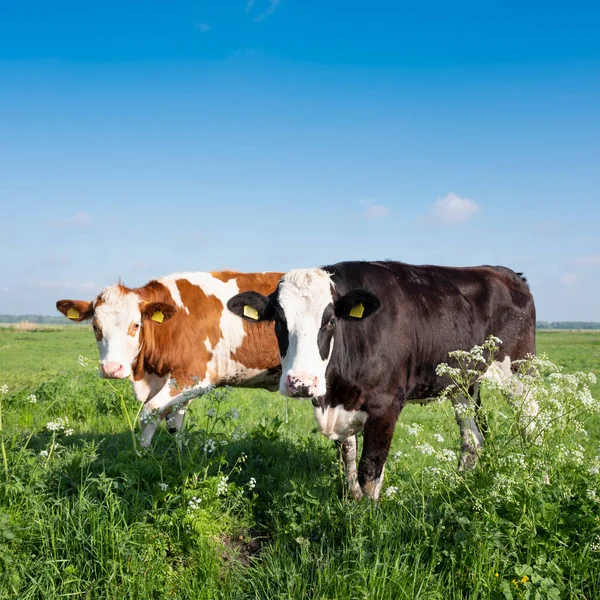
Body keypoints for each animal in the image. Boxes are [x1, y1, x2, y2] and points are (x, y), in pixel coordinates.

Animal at [56, 272, 282, 446]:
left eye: (136, 325)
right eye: (95, 326)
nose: (111, 369)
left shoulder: (194, 376)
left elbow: (149, 413)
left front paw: (143, 459)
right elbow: (175, 424)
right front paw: (180, 461)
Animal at [227, 262, 536, 502]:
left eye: (330, 321)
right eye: (278, 321)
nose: (301, 382)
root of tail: (506, 273)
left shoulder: (386, 405)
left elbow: (370, 473)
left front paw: (367, 521)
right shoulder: (342, 404)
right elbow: (349, 463)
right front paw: (351, 504)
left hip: (520, 373)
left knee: (532, 428)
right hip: (463, 383)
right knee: (473, 440)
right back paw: (459, 490)